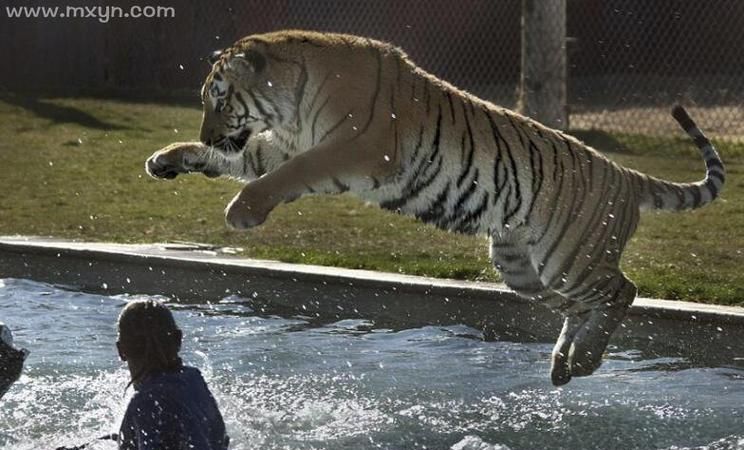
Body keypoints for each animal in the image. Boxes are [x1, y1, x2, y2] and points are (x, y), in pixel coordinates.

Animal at [147, 29, 728, 384]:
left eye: (219, 98)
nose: (209, 131)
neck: (290, 99)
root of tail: (626, 175)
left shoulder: (348, 149)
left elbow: (281, 177)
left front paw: (240, 211)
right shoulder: (282, 145)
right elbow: (242, 160)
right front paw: (166, 158)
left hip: (570, 256)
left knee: (622, 291)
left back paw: (581, 360)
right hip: (525, 268)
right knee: (583, 306)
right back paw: (566, 365)